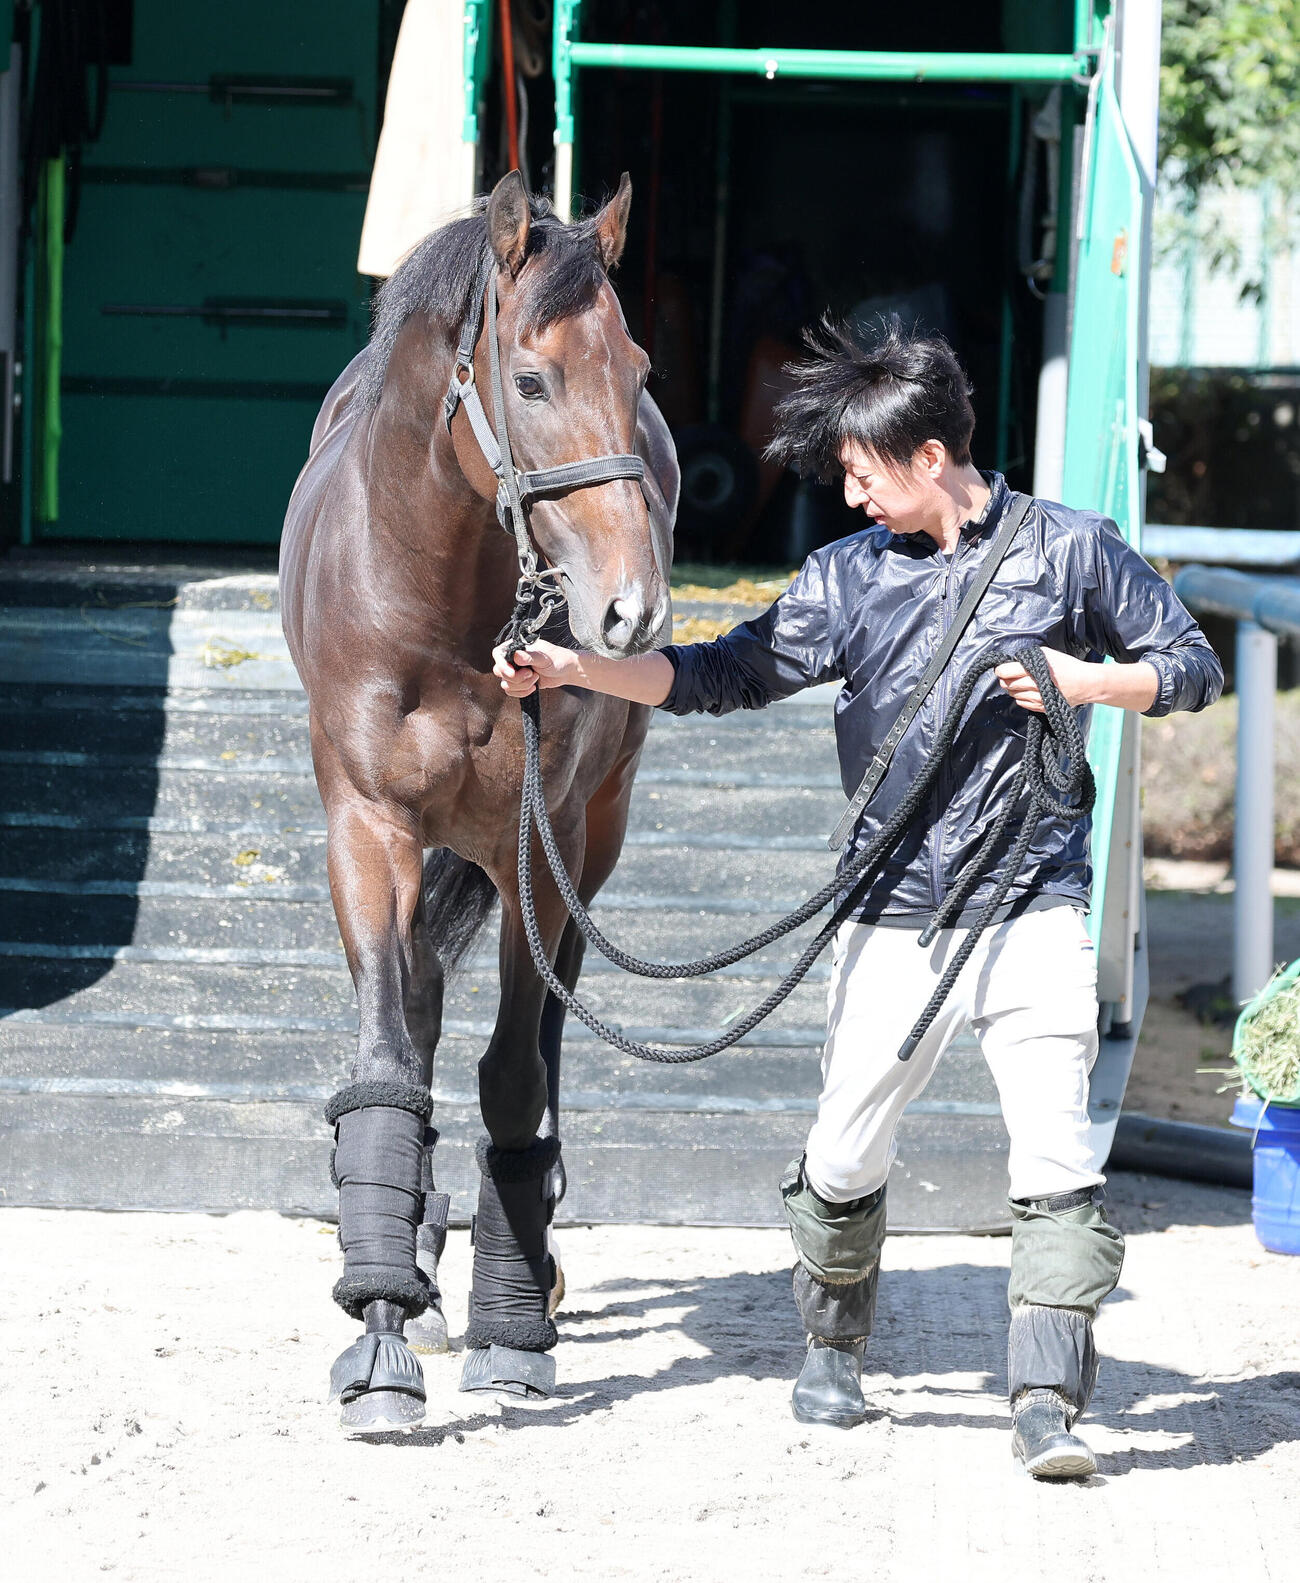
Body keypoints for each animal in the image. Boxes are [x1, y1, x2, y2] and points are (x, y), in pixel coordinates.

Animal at [280, 171, 679, 1429]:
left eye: (638, 369)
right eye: (533, 380)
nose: (632, 613)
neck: (441, 606)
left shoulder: (537, 851)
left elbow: (512, 1072)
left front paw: (512, 1322)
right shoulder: (367, 829)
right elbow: (389, 1059)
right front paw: (379, 1324)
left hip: (593, 837)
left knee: (544, 1036)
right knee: (418, 1000)